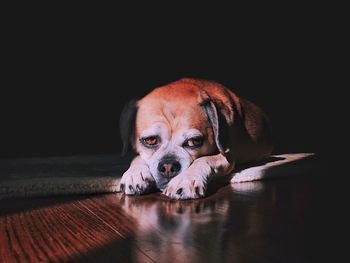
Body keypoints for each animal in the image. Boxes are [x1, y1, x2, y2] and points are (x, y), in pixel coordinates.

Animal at [119, 78, 272, 200]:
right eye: (150, 140)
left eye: (193, 141)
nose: (168, 166)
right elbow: (136, 157)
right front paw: (135, 173)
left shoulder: (226, 156)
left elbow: (203, 160)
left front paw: (186, 179)